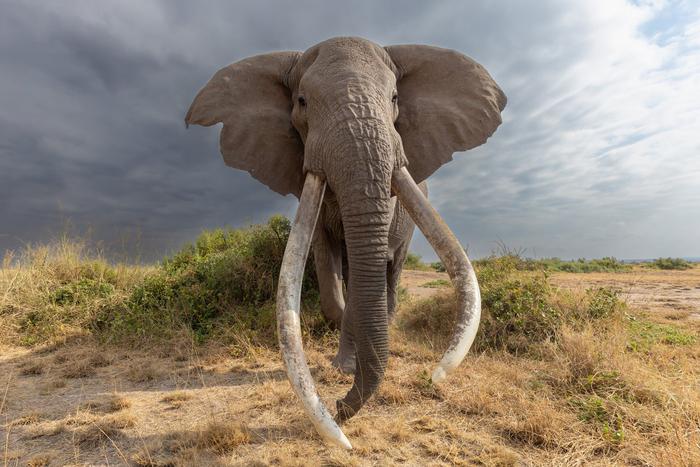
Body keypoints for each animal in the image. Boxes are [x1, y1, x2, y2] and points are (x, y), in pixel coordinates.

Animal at [186, 36, 506, 449]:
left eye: (395, 98)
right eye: (302, 101)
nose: (339, 407)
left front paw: (349, 368)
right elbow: (329, 267)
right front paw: (344, 367)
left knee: (391, 273)